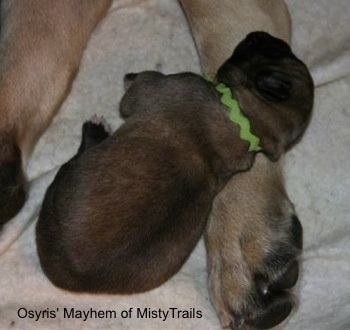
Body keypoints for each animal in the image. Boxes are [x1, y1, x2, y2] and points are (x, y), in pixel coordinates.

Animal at [36, 32, 314, 300]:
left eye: (263, 47)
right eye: (280, 50)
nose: (258, 34)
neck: (248, 121)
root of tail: (68, 277)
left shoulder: (165, 84)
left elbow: (136, 88)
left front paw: (130, 77)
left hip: (61, 181)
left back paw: (95, 129)